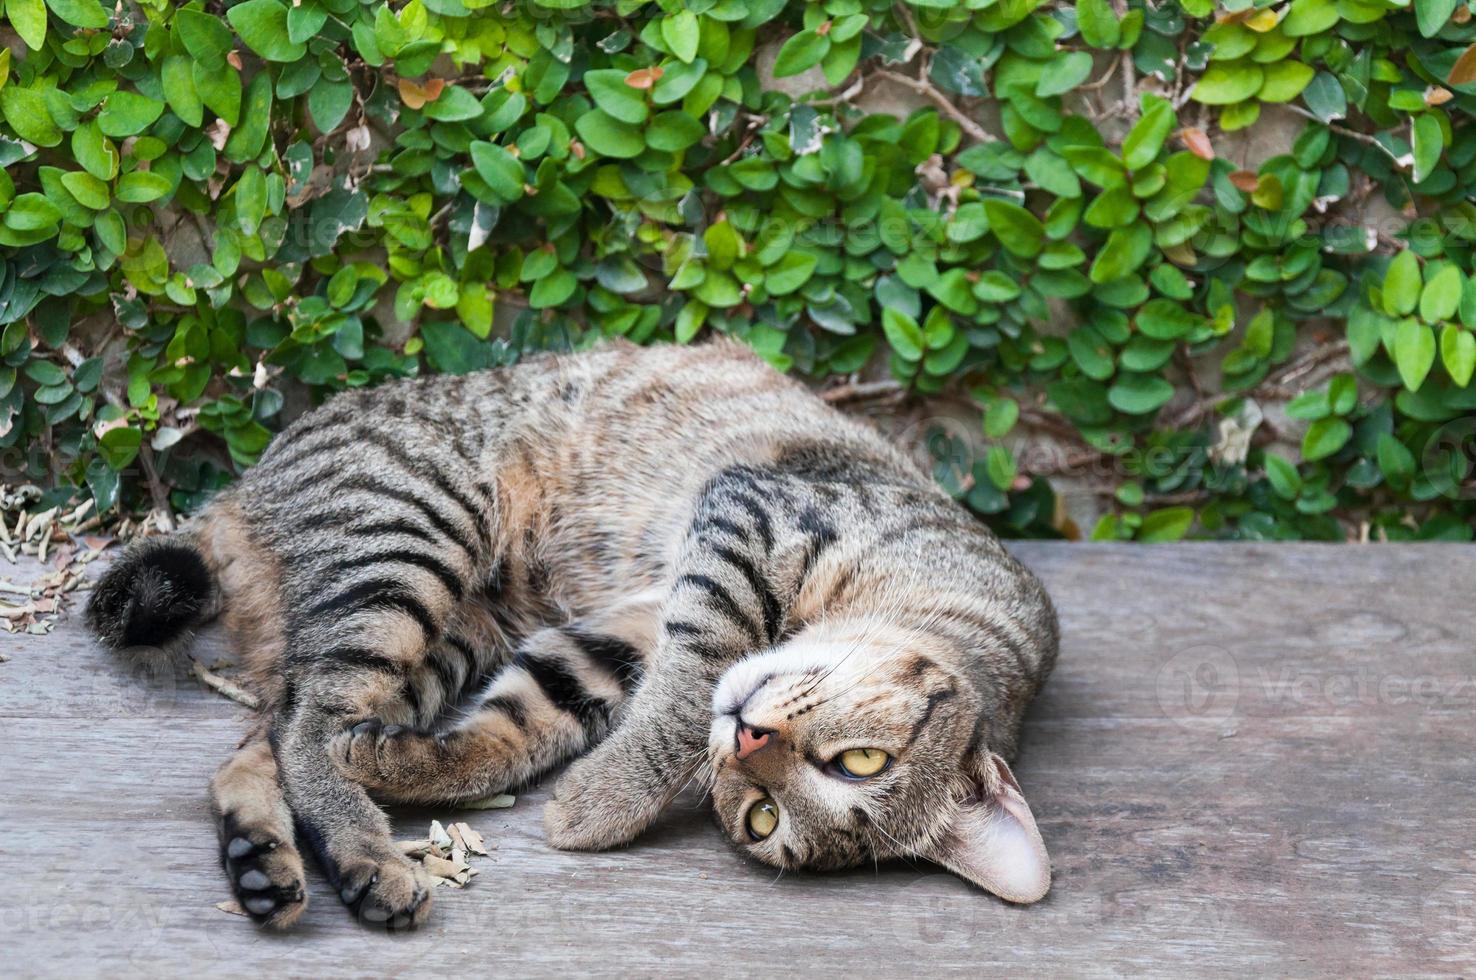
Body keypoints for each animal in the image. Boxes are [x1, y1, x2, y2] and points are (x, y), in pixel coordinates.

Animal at [86, 340, 1062, 932]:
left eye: (763, 816)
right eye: (863, 762)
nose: (750, 739)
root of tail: (240, 491)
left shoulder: (612, 638)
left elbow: (511, 734)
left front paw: (552, 795)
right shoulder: (746, 520)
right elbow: (683, 695)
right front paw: (605, 801)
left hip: (455, 630)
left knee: (271, 738)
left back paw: (279, 859)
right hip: (412, 546)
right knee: (304, 725)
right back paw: (364, 848)